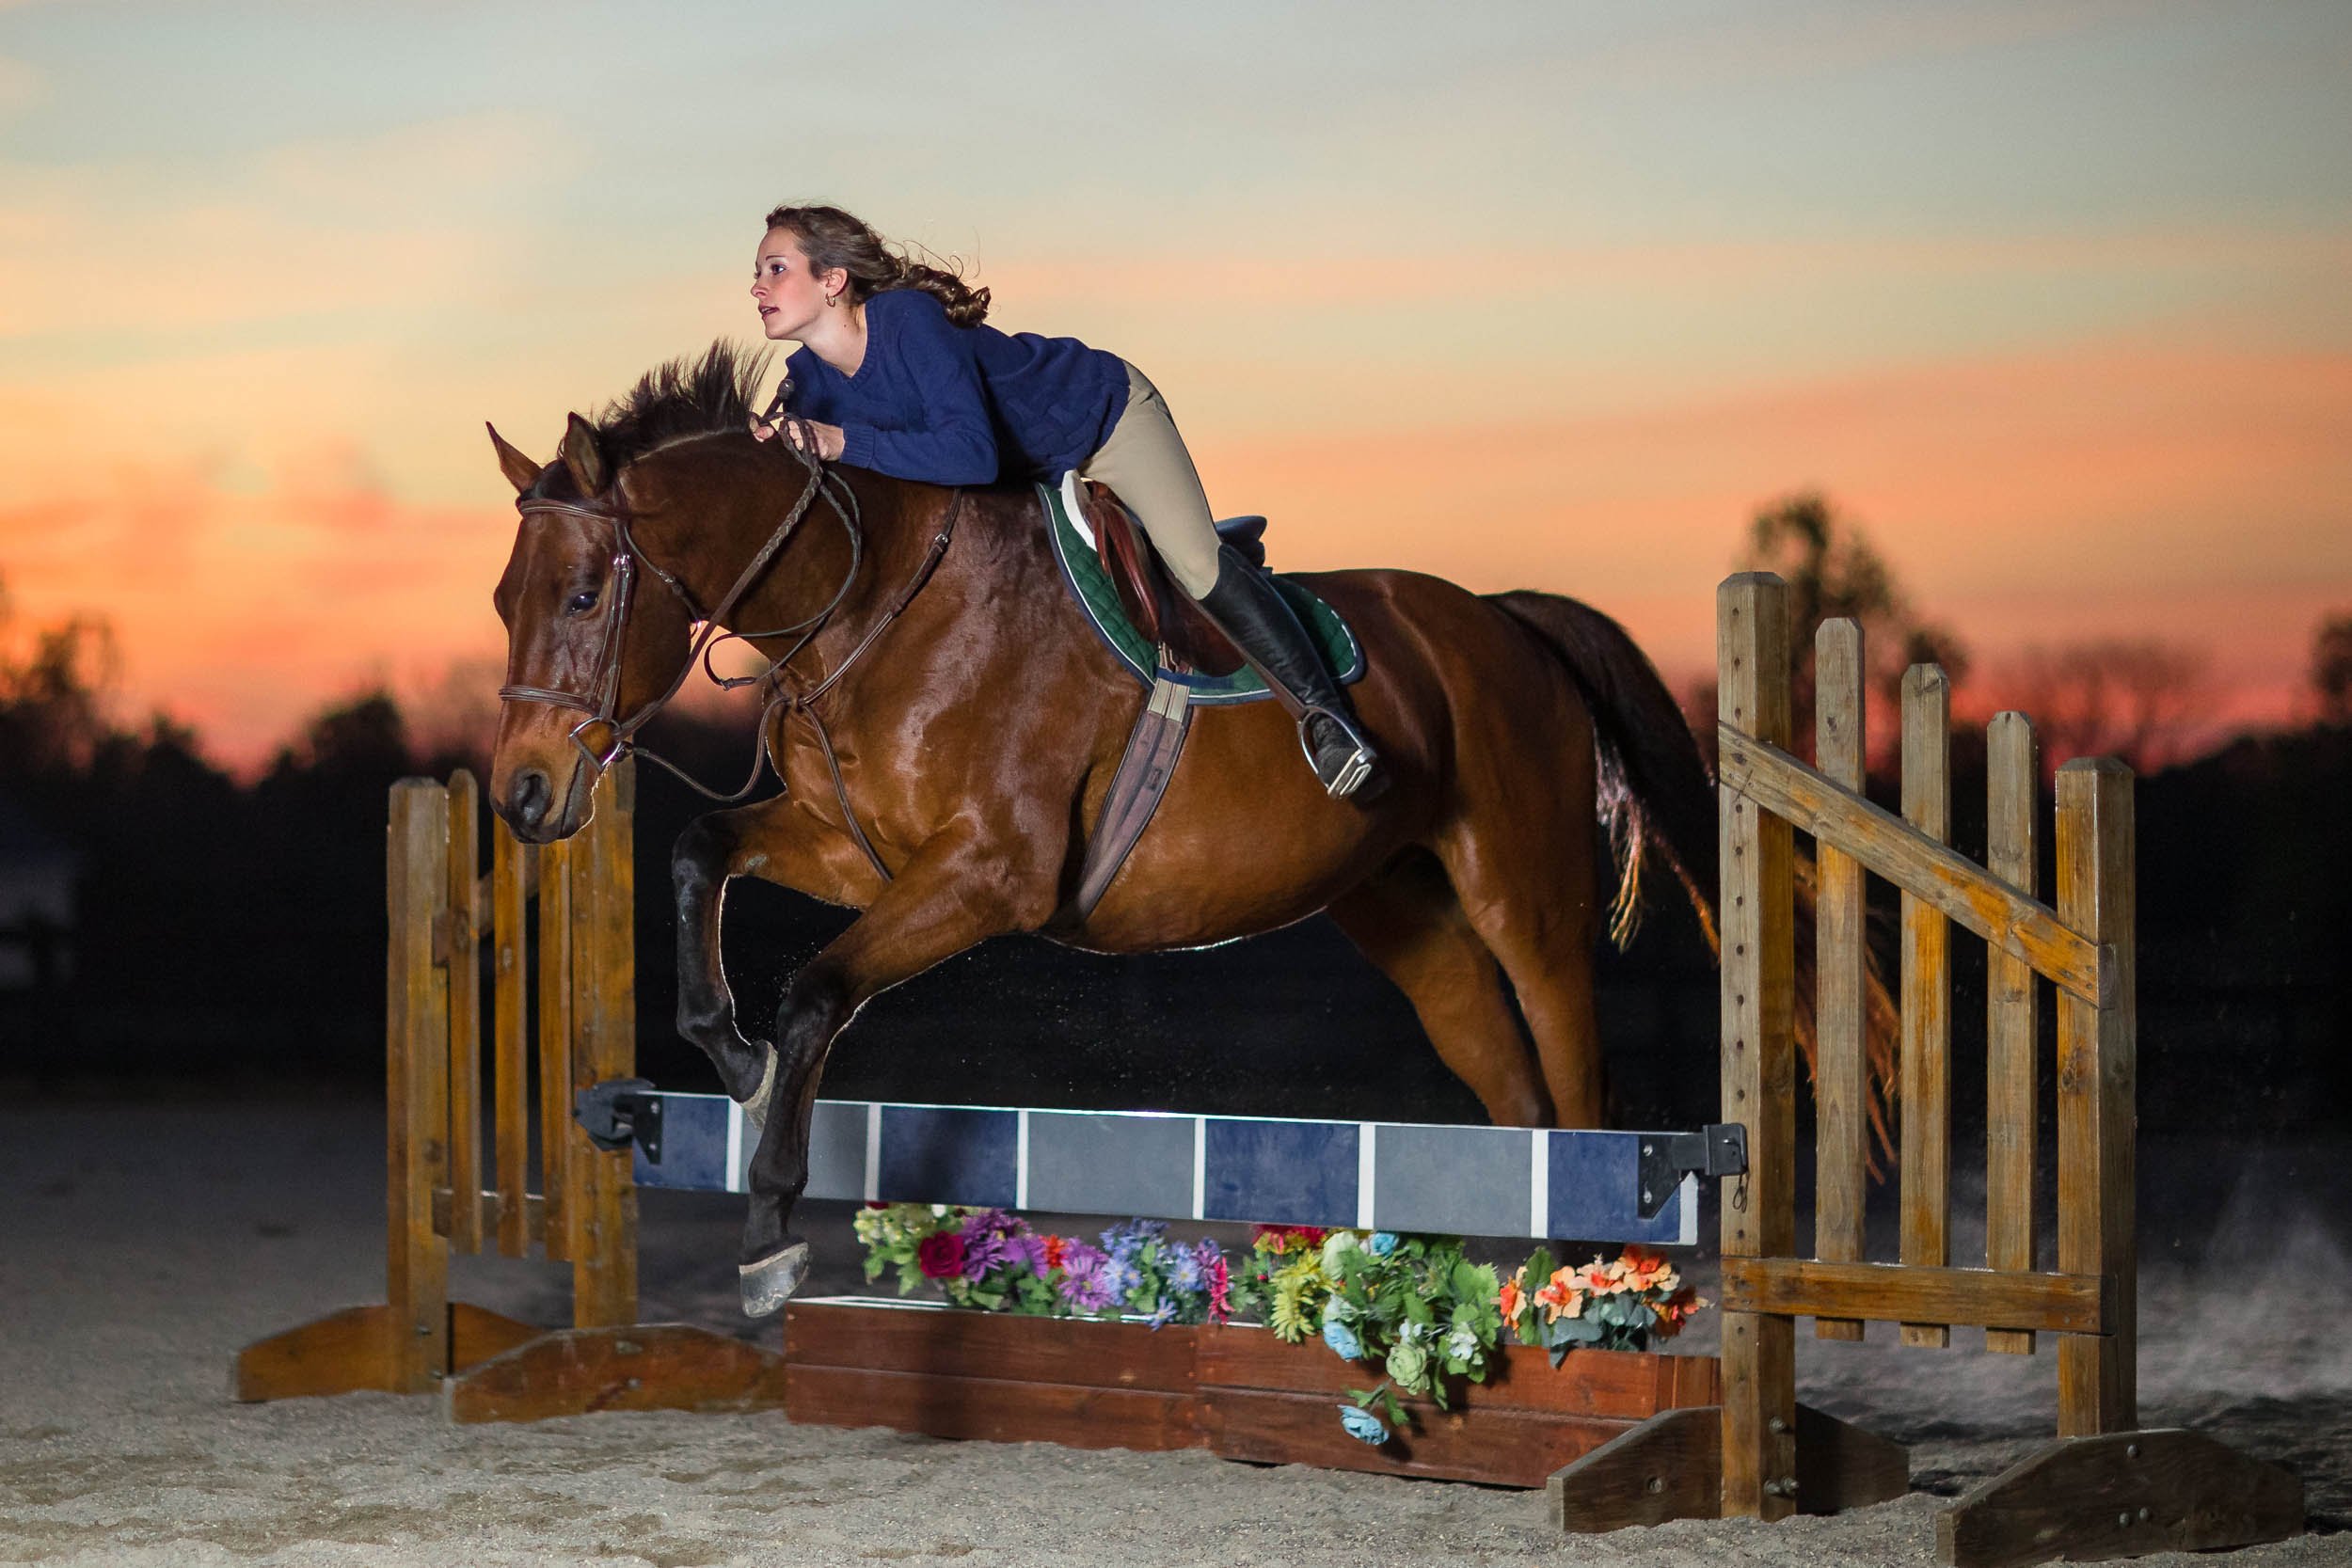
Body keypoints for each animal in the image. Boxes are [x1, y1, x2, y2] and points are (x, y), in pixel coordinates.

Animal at [491, 345, 1731, 1325]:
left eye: (587, 594)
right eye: (507, 598)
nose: (522, 795)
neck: (868, 602)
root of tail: (1506, 617)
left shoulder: (990, 874)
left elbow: (818, 992)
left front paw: (769, 1232)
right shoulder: (860, 851)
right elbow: (701, 848)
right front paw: (734, 1054)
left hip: (1523, 891)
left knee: (1576, 1087)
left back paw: (1585, 1299)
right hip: (1398, 905)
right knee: (1510, 1088)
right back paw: (1531, 1304)